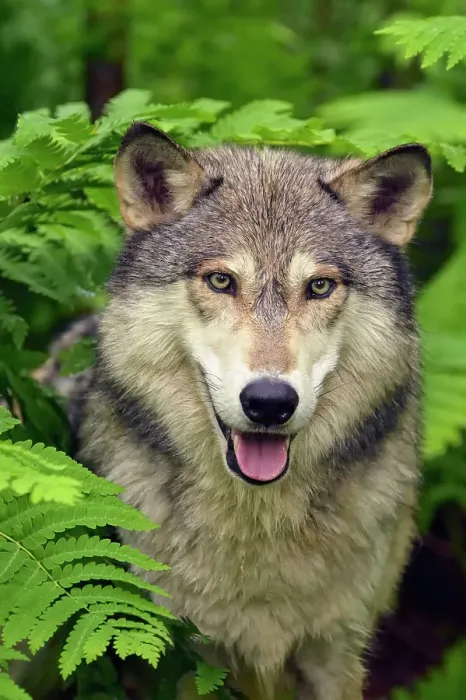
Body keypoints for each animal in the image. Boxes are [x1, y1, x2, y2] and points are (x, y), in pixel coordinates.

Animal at [74, 122, 432, 700]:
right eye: (221, 281)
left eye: (319, 286)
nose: (269, 402)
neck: (257, 523)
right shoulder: (184, 658)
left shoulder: (337, 651)